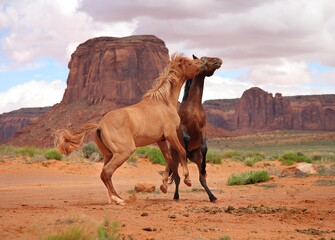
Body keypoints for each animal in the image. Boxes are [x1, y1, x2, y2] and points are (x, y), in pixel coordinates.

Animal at [54, 53, 207, 205]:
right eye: (189, 63)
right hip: (124, 152)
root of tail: (99, 126)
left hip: (109, 155)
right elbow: (182, 152)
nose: (203, 62)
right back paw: (118, 199)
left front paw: (163, 186)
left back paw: (117, 198)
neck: (164, 103)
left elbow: (169, 159)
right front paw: (188, 180)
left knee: (104, 174)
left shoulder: (161, 139)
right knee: (107, 172)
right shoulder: (171, 134)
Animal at [167, 55, 222, 202]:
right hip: (174, 160)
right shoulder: (183, 127)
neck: (193, 107)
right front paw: (185, 152)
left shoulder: (203, 129)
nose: (218, 60)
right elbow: (186, 138)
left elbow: (204, 147)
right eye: (204, 59)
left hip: (197, 159)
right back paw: (176, 196)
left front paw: (204, 169)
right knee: (177, 178)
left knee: (202, 180)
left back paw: (212, 196)